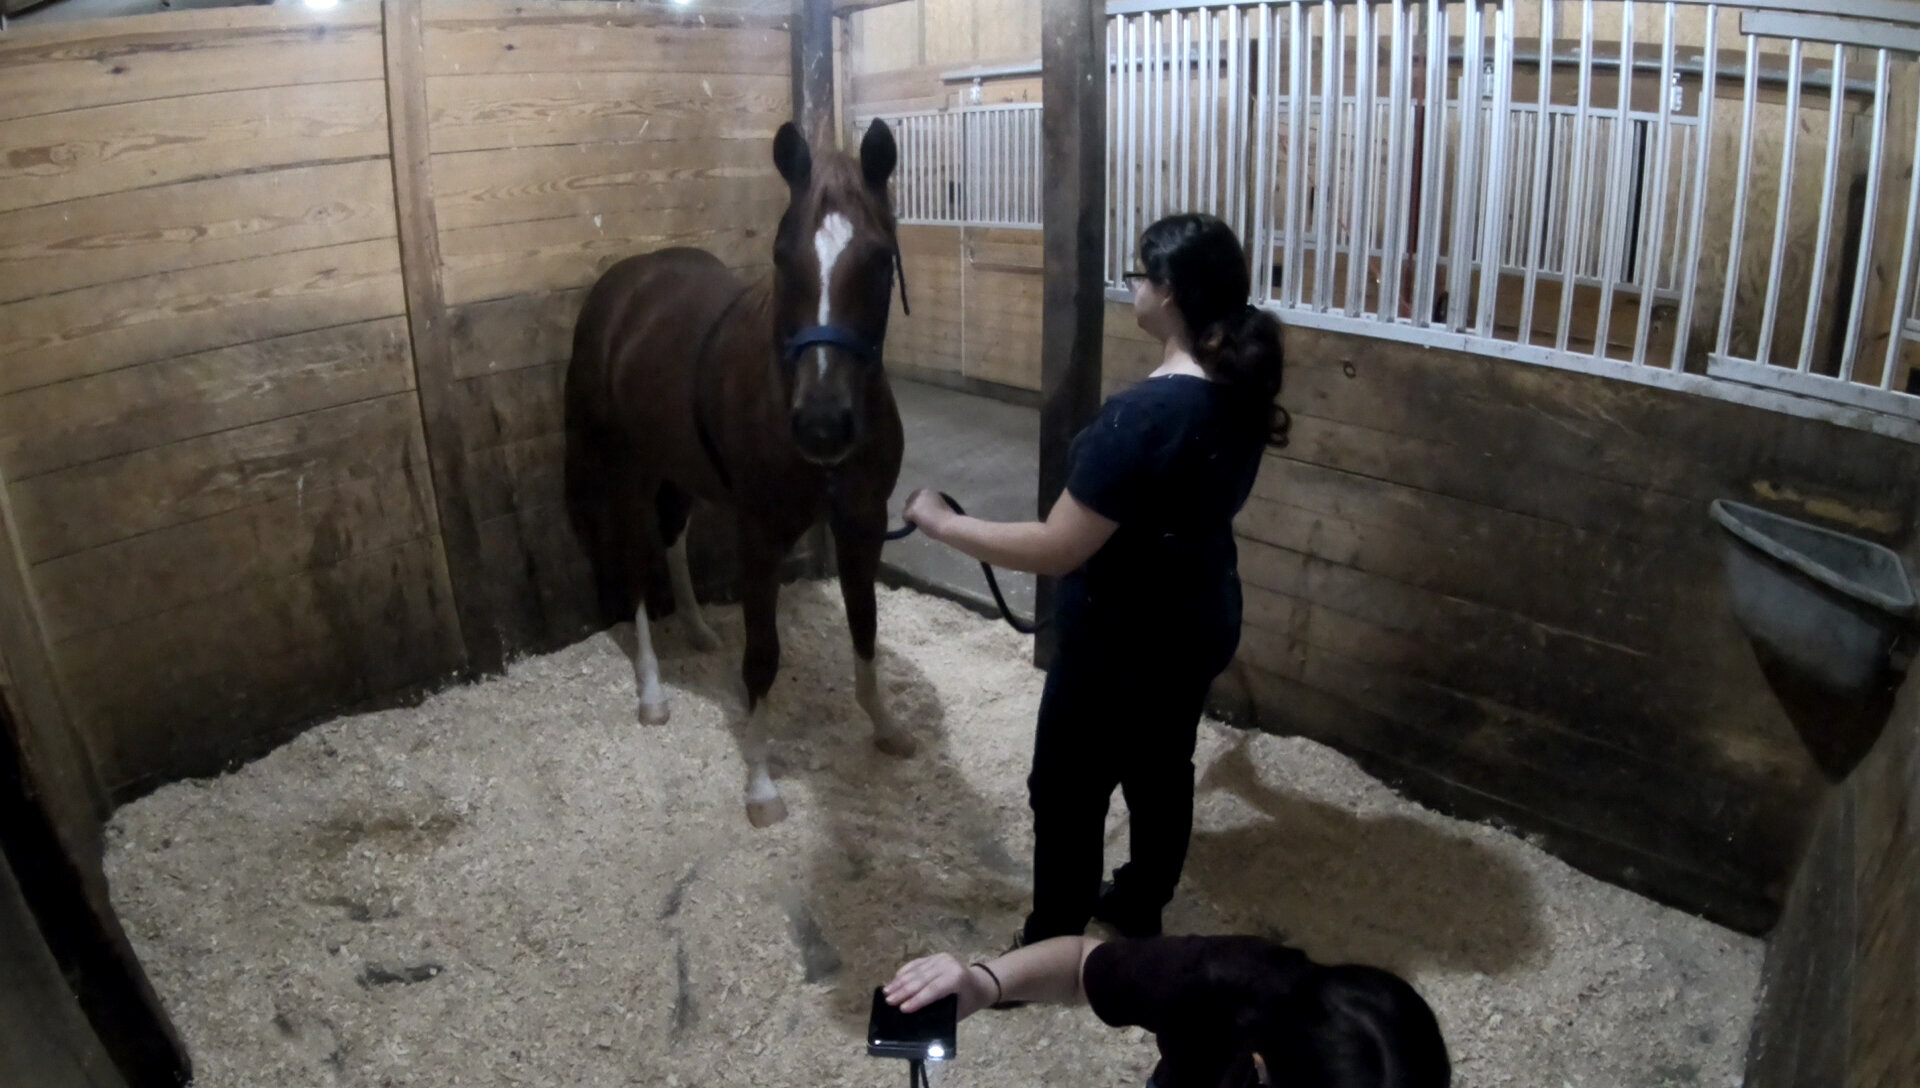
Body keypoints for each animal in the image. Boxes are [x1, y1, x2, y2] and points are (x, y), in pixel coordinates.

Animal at [564, 119, 912, 828]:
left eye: (878, 259)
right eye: (781, 256)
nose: (822, 425)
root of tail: (623, 286)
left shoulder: (863, 524)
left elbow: (865, 626)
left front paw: (884, 726)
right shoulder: (761, 539)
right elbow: (762, 658)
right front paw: (760, 786)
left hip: (676, 469)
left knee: (671, 538)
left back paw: (698, 631)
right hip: (624, 473)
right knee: (633, 568)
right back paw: (652, 694)